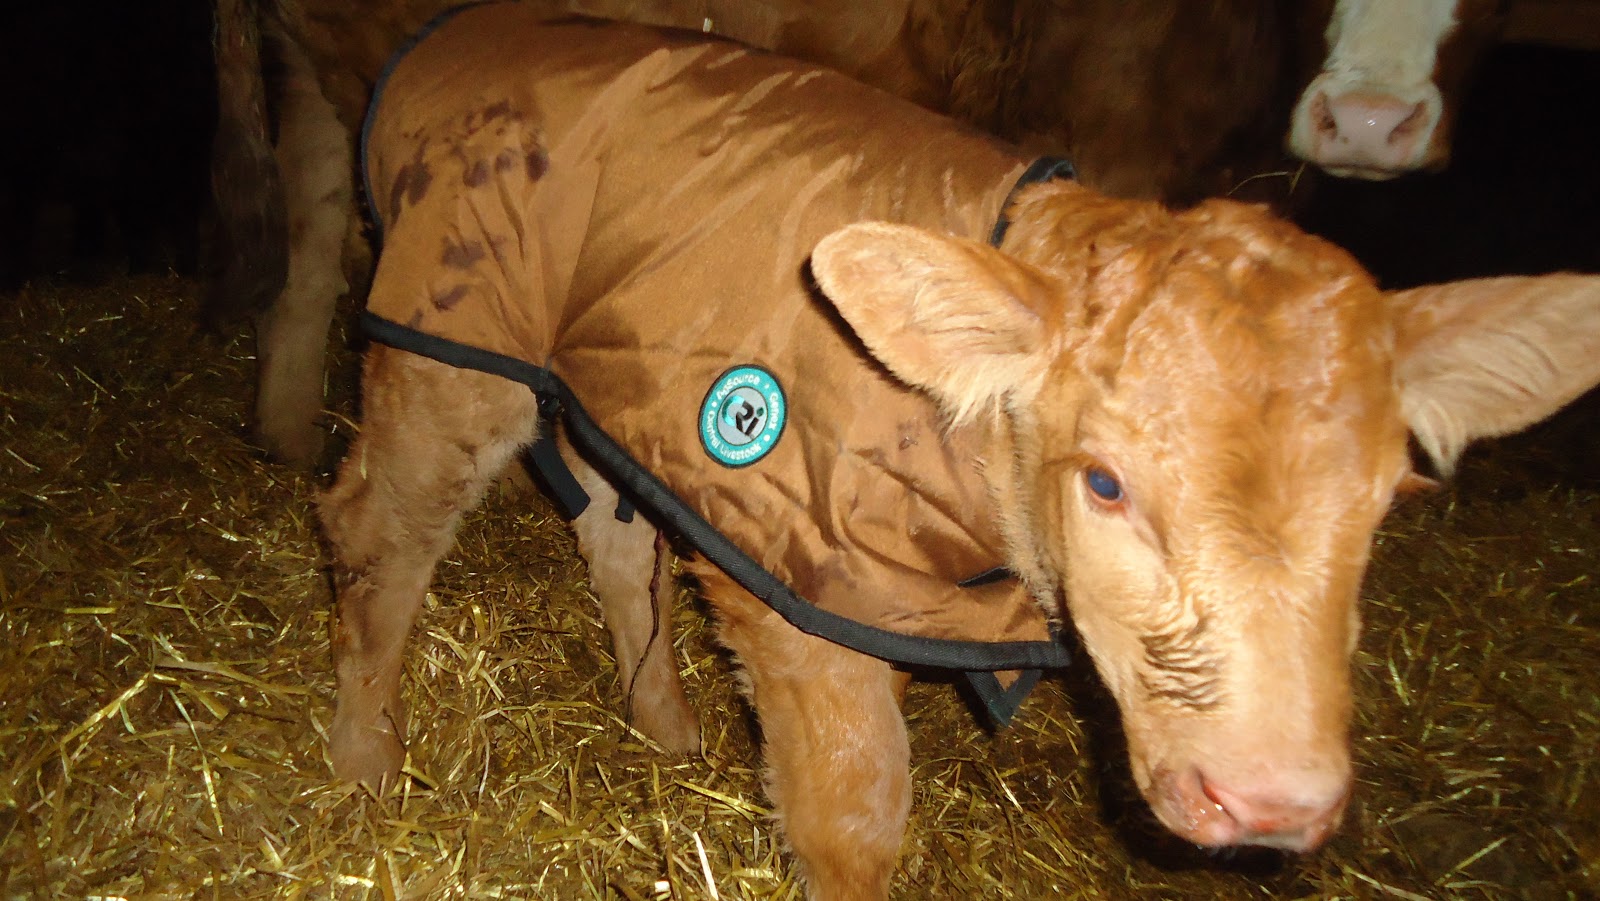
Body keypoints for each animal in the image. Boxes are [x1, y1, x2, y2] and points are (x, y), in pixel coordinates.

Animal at [322, 7, 1600, 898]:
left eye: (1383, 506)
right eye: (1105, 481)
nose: (1269, 798)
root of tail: (468, 28)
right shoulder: (802, 578)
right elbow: (853, 812)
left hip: (602, 362)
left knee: (608, 528)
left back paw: (664, 728)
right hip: (460, 332)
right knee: (376, 523)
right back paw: (362, 762)